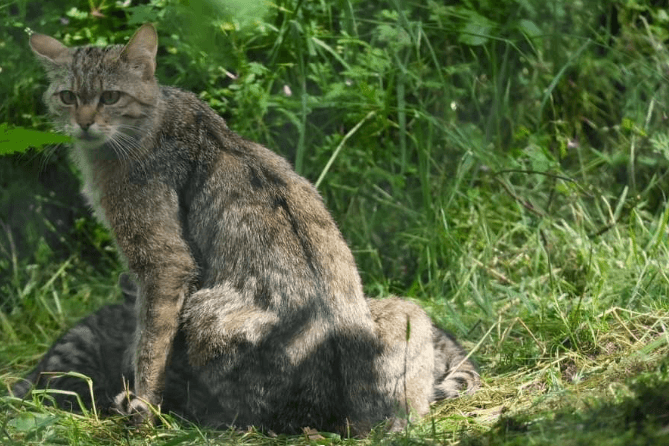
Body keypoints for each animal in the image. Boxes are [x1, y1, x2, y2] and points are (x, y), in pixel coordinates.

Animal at [28, 25, 478, 436]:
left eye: (110, 97)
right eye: (67, 97)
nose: (84, 124)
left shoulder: (164, 264)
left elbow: (150, 343)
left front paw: (143, 410)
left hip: (204, 313)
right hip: (403, 309)